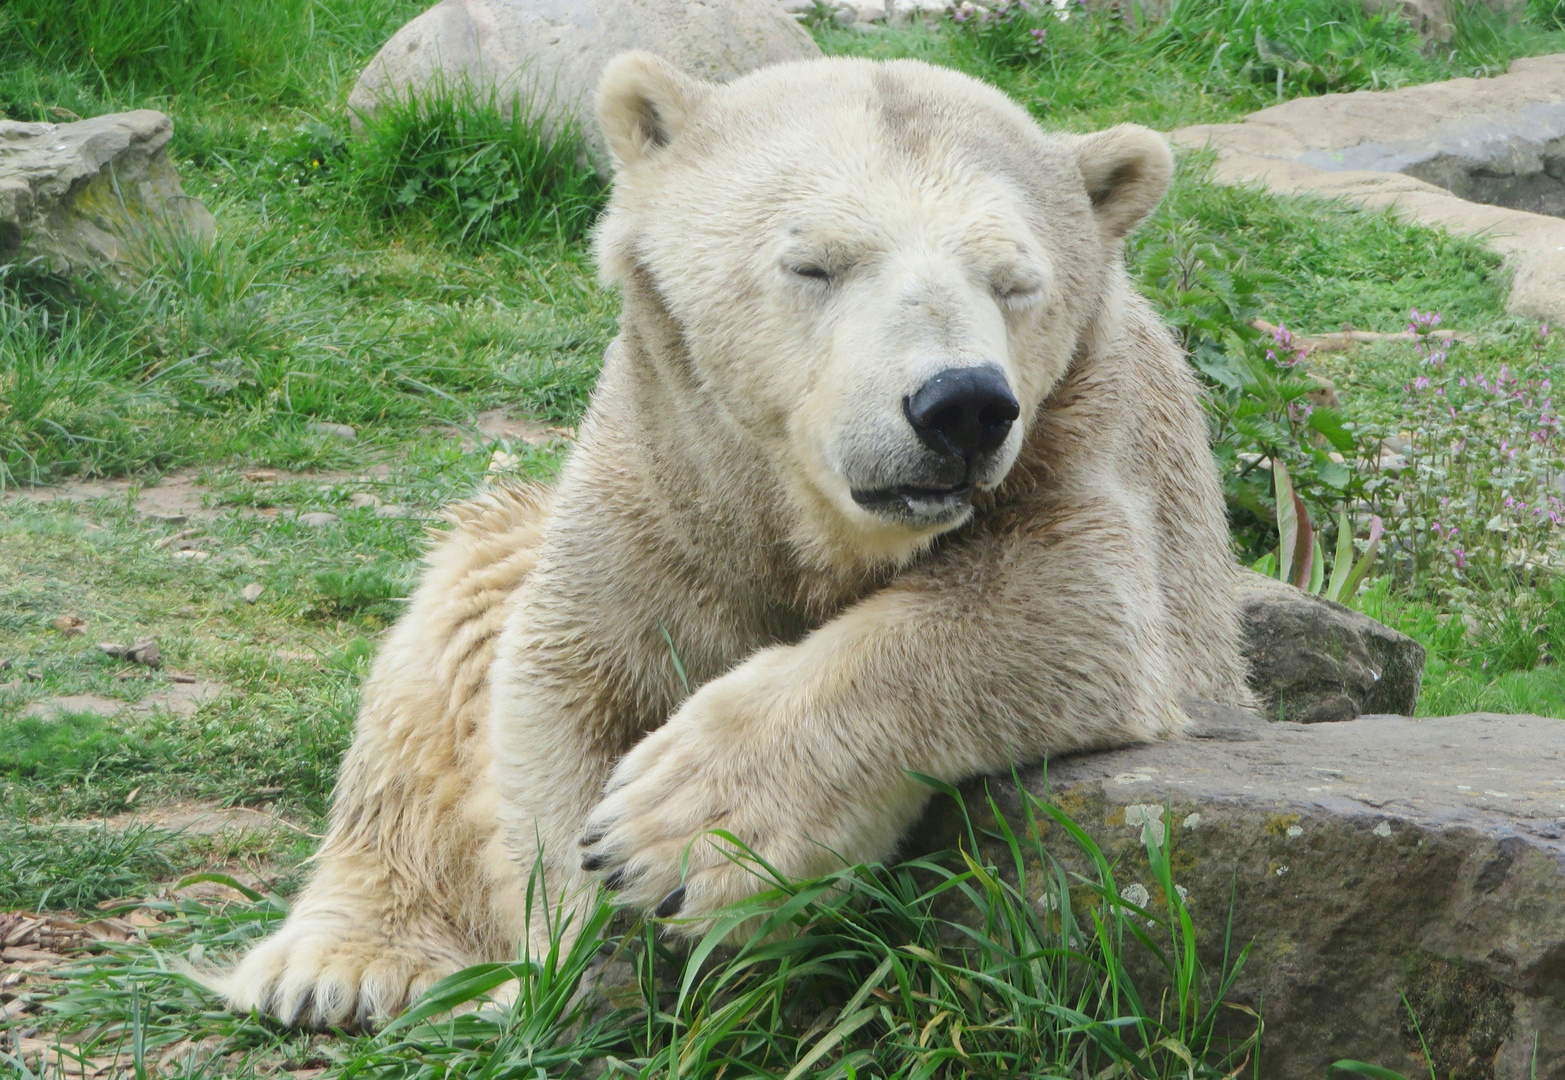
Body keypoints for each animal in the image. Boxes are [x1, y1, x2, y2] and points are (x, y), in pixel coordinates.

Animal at [217, 50, 1245, 1026]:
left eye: (1017, 282)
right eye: (813, 263)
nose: (960, 407)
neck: (805, 519)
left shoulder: (1089, 452)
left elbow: (1063, 603)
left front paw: (678, 837)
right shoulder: (659, 486)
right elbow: (556, 673)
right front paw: (579, 952)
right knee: (437, 660)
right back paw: (333, 966)